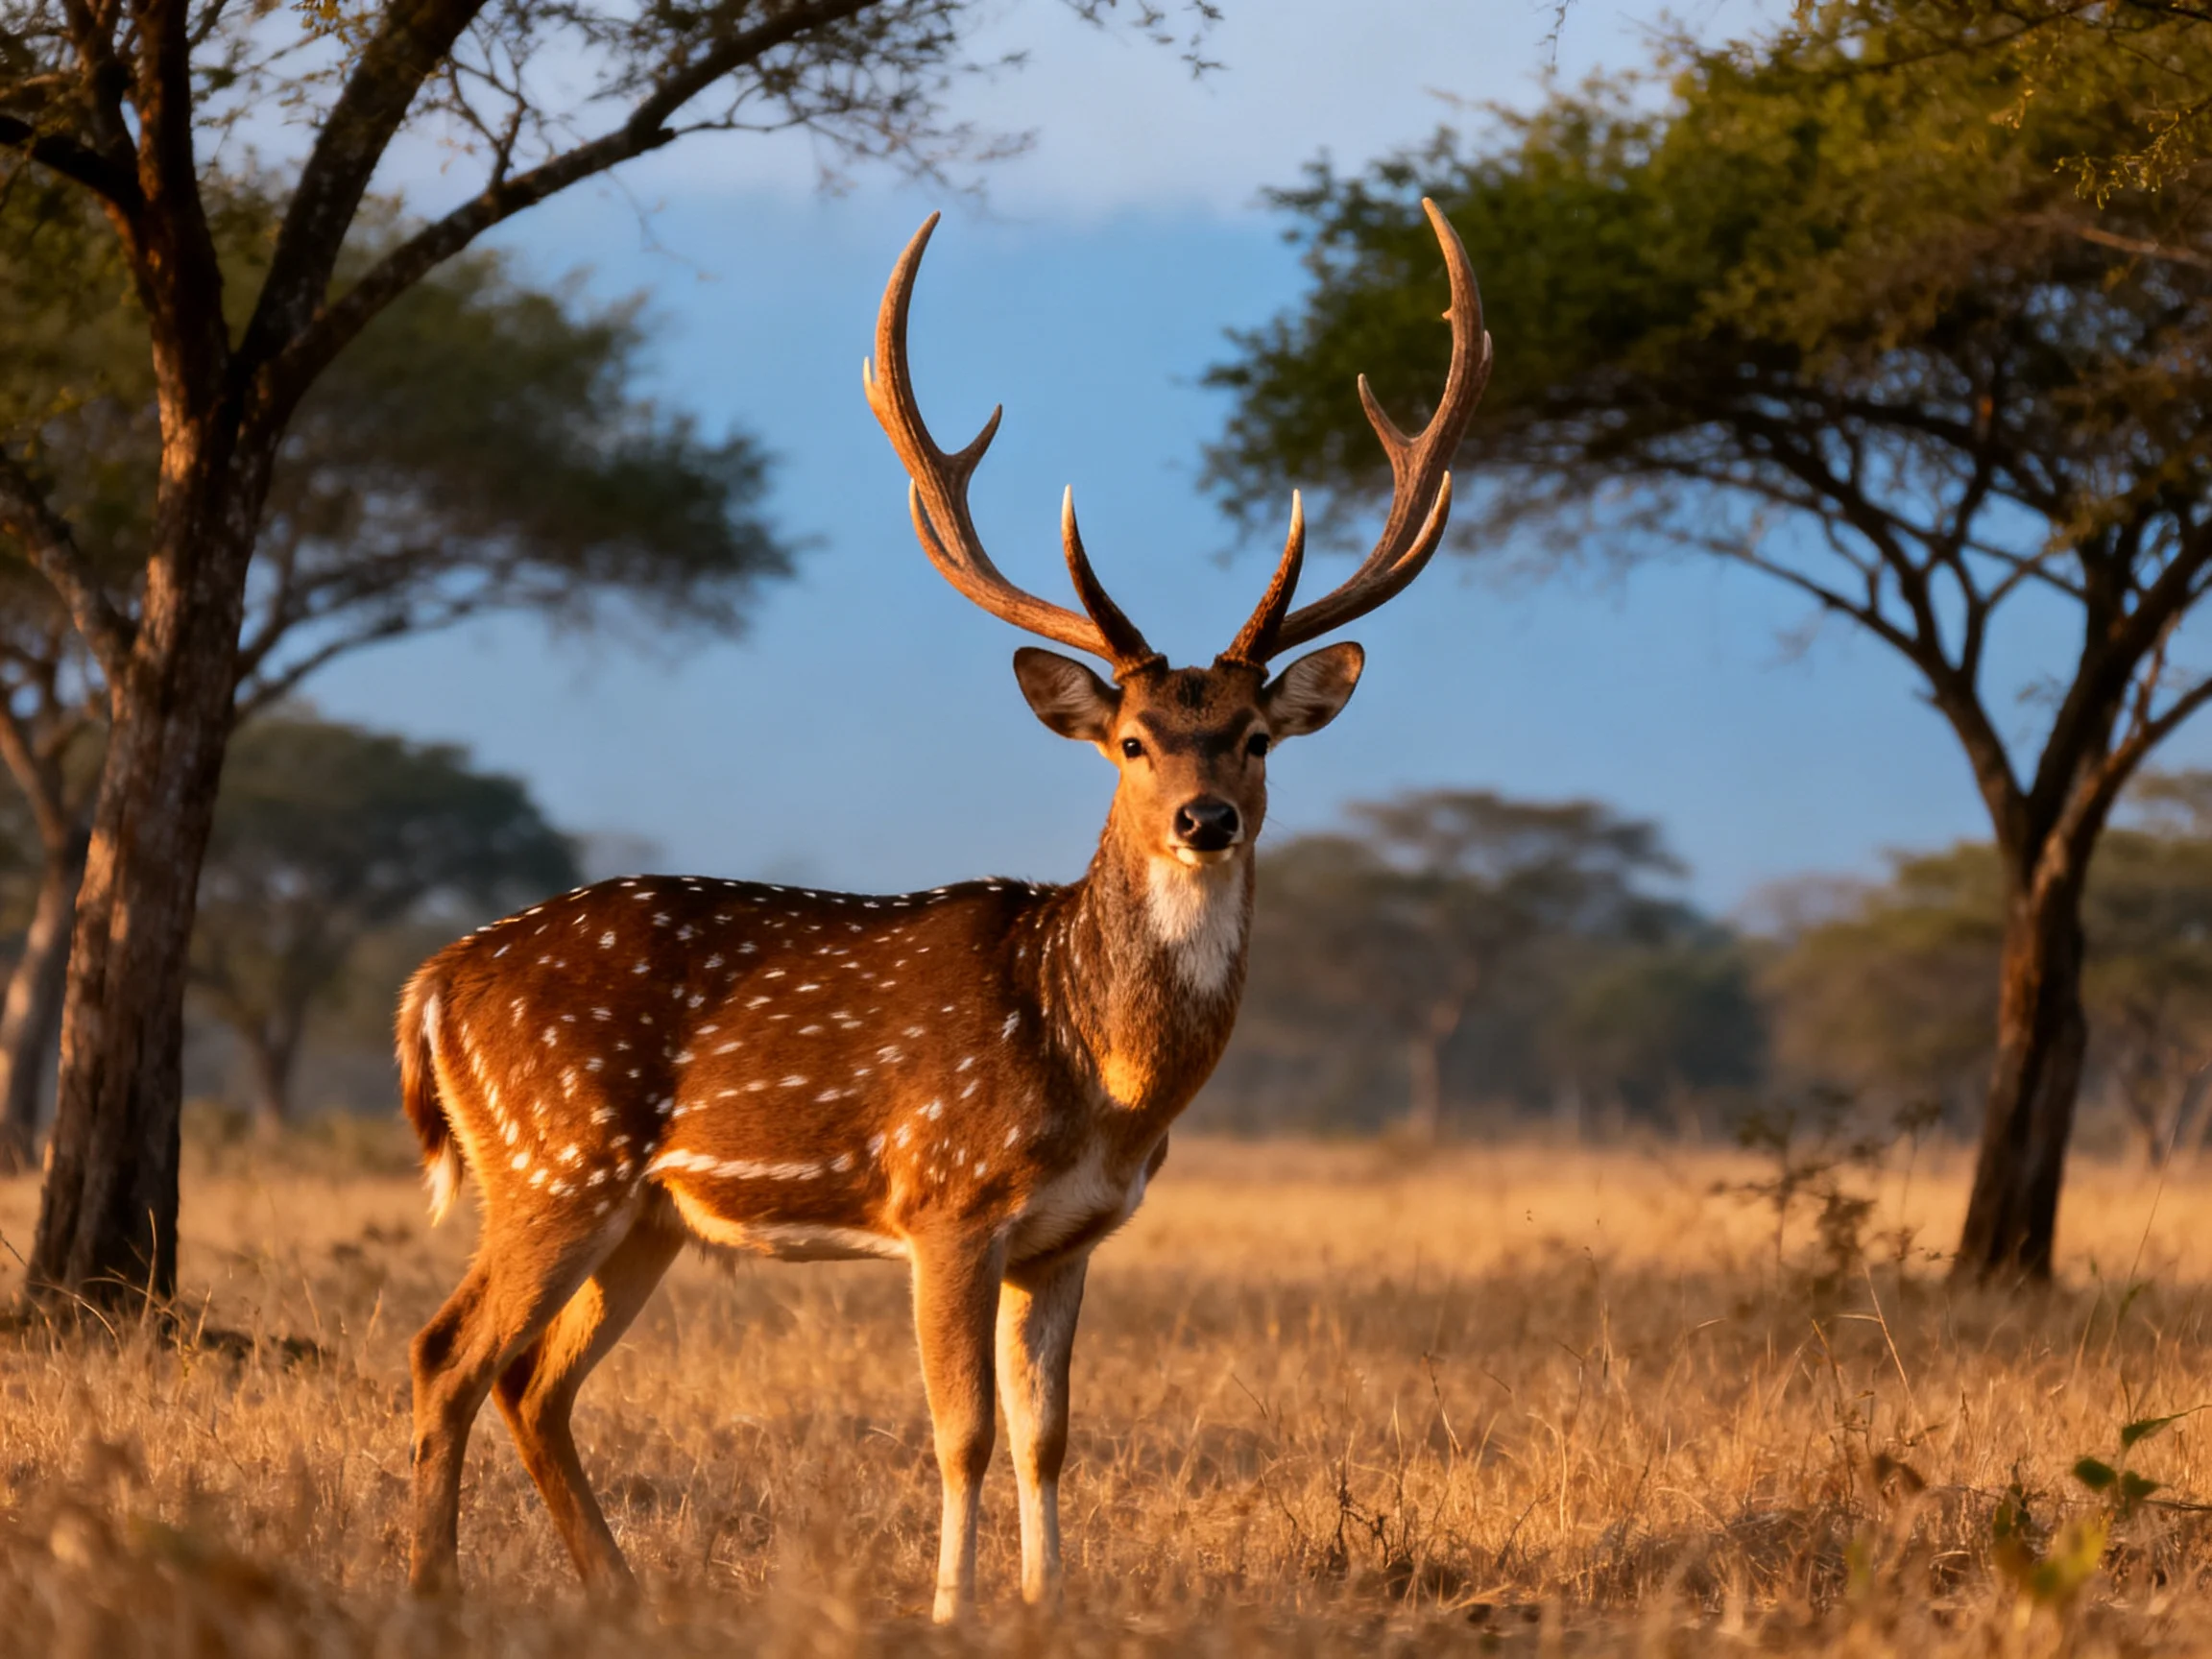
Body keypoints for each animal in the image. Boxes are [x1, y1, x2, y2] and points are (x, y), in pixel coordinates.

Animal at [395, 198, 1490, 1621]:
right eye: (1133, 741)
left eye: (1254, 737)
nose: (1207, 819)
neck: (1107, 1081)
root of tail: (431, 984)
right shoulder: (948, 1204)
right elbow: (961, 1429)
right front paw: (953, 1609)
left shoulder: (1070, 1238)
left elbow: (1047, 1434)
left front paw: (1044, 1605)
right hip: (552, 1164)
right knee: (448, 1352)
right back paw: (430, 1590)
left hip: (642, 1212)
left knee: (534, 1379)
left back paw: (620, 1593)